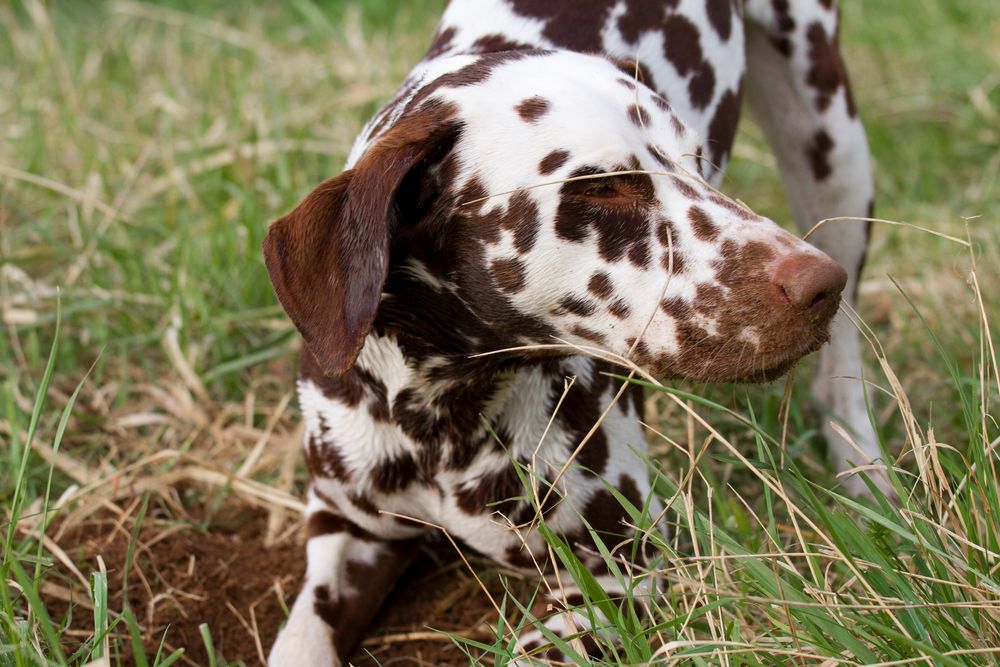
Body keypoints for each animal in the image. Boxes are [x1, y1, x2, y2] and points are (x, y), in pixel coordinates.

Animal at [266, 1, 876, 664]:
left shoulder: (621, 571)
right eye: (601, 186)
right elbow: (300, 641)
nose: (820, 284)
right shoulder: (346, 528)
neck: (437, 424)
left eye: (696, 163)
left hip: (831, 149)